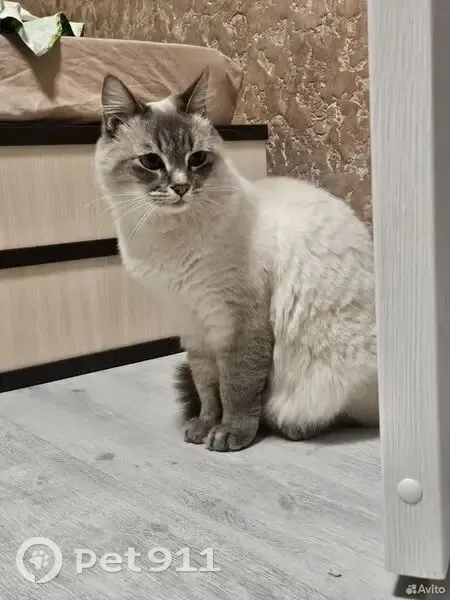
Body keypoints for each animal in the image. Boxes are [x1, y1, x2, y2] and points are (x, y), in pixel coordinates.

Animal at [95, 69, 378, 452]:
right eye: (151, 161)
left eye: (197, 159)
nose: (181, 187)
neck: (169, 237)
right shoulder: (193, 325)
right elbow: (207, 388)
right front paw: (204, 427)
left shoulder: (237, 323)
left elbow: (236, 387)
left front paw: (230, 434)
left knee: (335, 414)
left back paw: (289, 427)